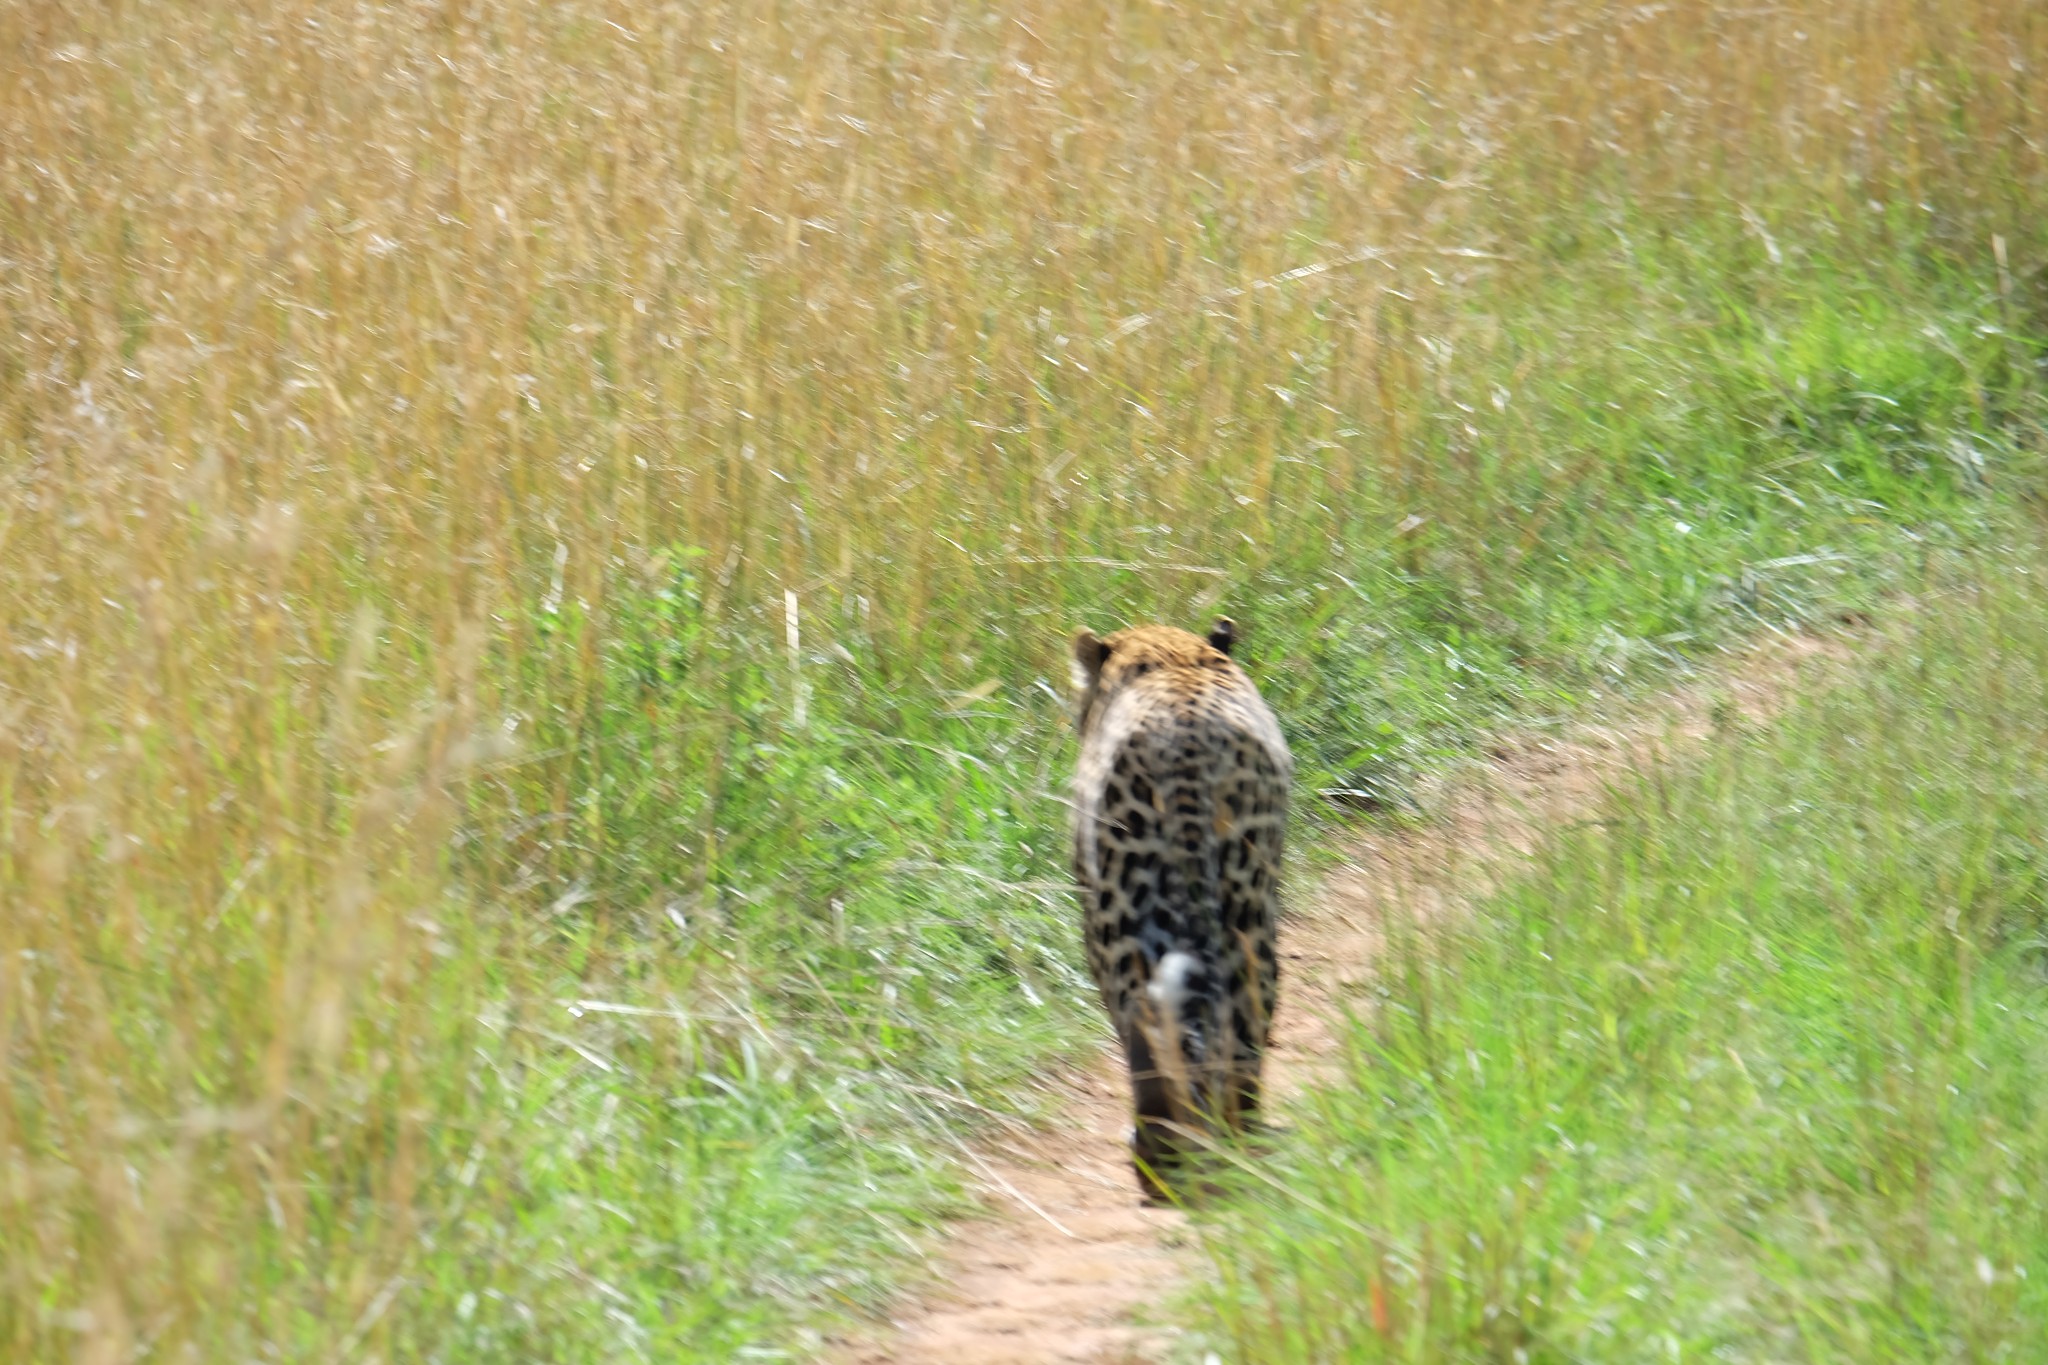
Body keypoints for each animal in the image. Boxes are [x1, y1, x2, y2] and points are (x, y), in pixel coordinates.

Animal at [1073, 613, 1294, 1203]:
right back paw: (1232, 1141)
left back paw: (1161, 1160)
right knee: (1242, 1019)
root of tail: (1185, 739)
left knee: (1142, 1017)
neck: (1171, 653)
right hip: (1247, 902)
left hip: (1119, 910)